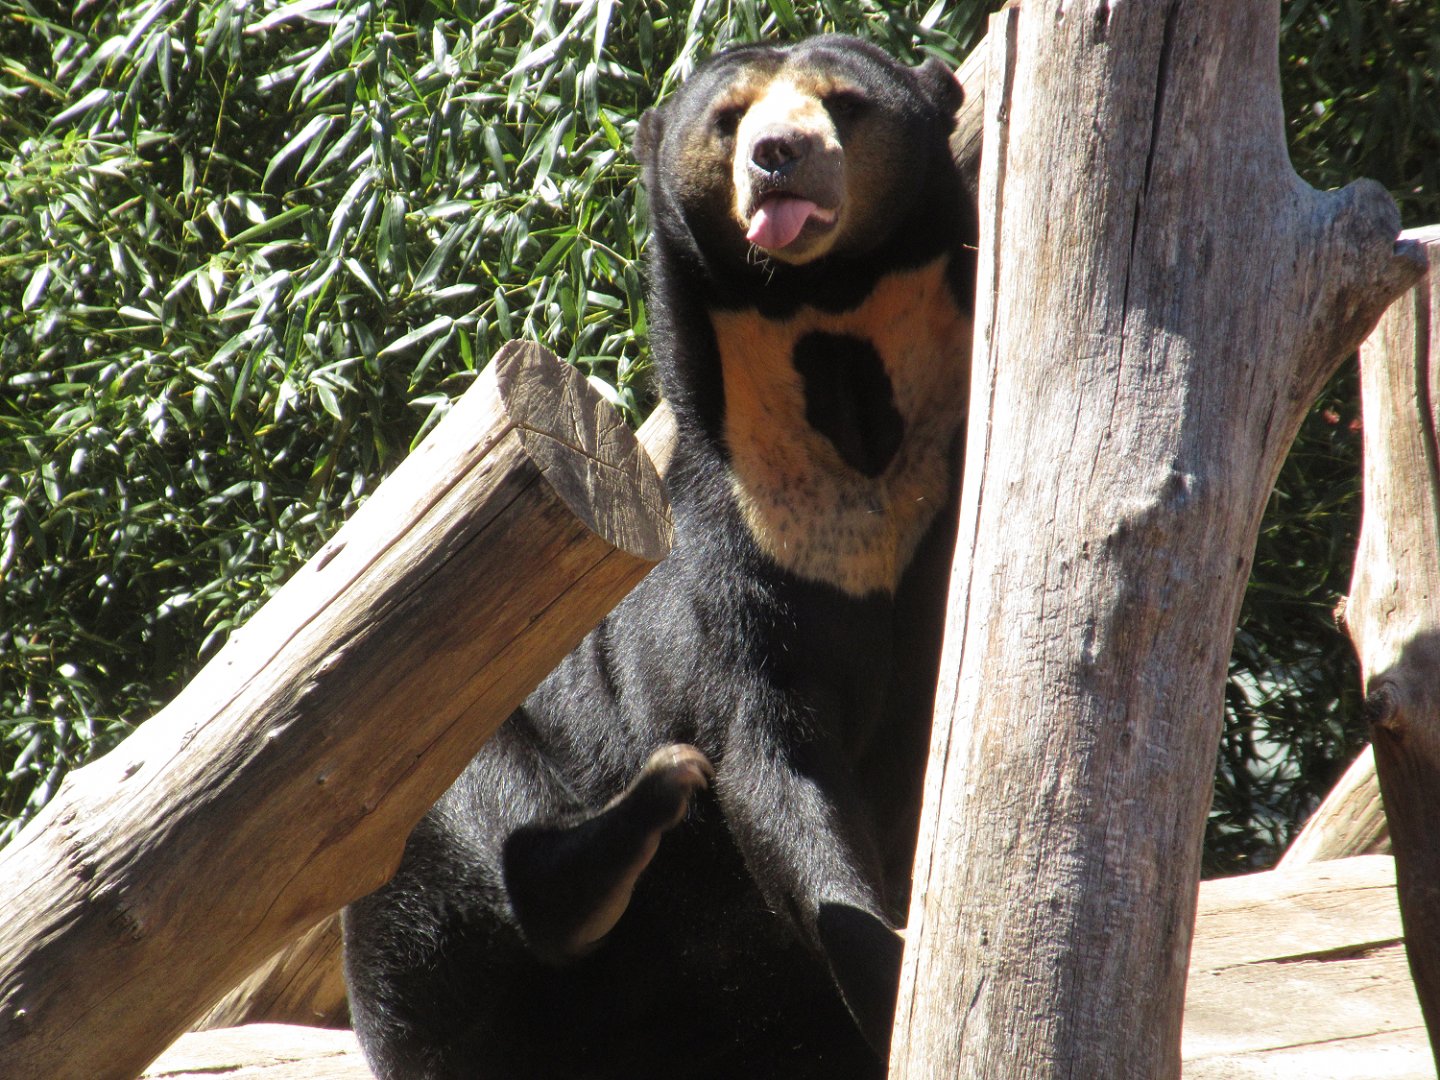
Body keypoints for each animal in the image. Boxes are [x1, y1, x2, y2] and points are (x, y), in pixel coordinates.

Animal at [342, 34, 977, 1080]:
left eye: (844, 105)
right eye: (730, 118)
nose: (777, 158)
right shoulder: (730, 562)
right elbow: (771, 761)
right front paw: (889, 979)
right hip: (425, 873)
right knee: (471, 798)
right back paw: (625, 829)